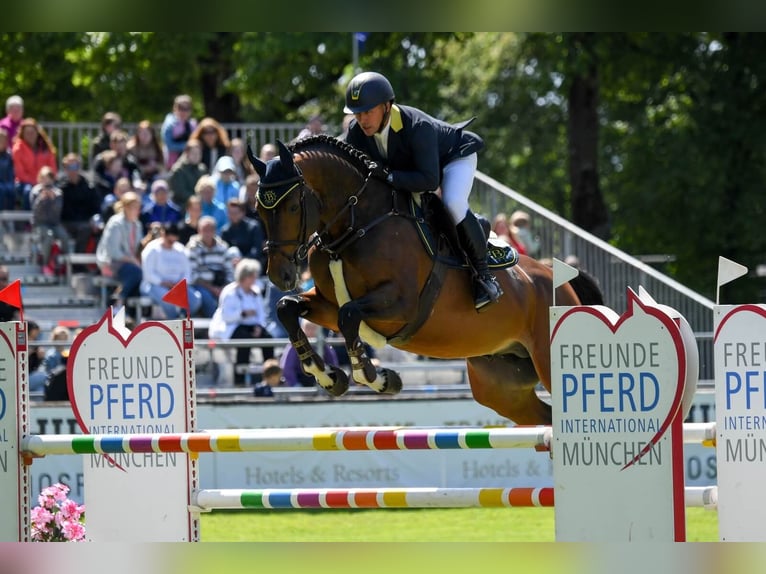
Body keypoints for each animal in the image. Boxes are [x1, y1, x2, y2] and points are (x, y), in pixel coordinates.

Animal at [249, 136, 604, 428]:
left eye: (292, 206)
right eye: (258, 210)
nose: (279, 275)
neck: (355, 224)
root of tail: (560, 282)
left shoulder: (401, 305)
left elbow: (348, 315)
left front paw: (377, 377)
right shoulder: (327, 302)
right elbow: (287, 308)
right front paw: (327, 377)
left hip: (551, 363)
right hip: (501, 385)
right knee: (545, 418)